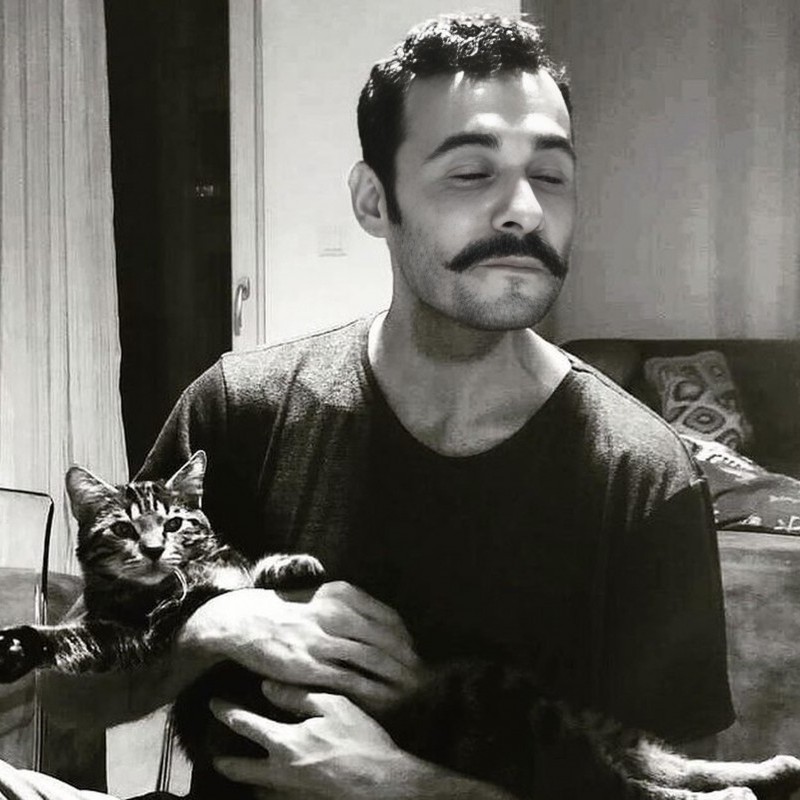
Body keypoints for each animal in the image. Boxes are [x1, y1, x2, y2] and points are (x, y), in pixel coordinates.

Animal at [0, 451, 799, 800]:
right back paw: (753, 780)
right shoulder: (132, 633)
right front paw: (20, 644)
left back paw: (754, 778)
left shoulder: (212, 575)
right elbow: (80, 642)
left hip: (528, 709)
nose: (153, 549)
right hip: (534, 719)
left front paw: (289, 563)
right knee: (638, 775)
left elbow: (248, 572)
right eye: (121, 529)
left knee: (642, 770)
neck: (171, 584)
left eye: (174, 522)